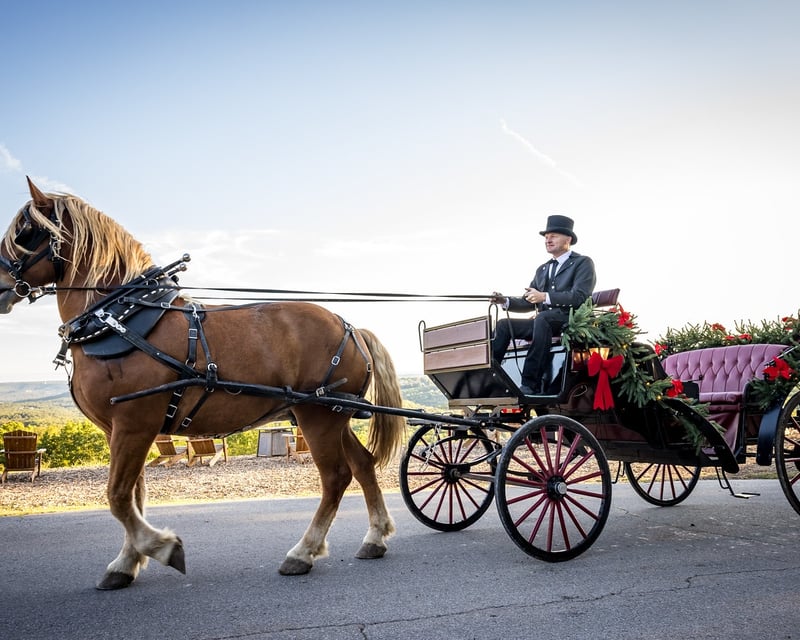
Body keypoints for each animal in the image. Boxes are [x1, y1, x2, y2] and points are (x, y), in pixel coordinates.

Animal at [0, 178, 406, 590]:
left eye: (24, 232)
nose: (0, 285)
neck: (120, 318)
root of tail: (351, 326)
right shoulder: (122, 430)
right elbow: (134, 496)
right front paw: (127, 562)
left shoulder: (133, 424)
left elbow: (118, 496)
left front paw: (162, 547)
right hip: (332, 414)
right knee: (363, 464)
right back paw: (374, 537)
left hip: (317, 415)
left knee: (336, 477)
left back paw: (302, 552)